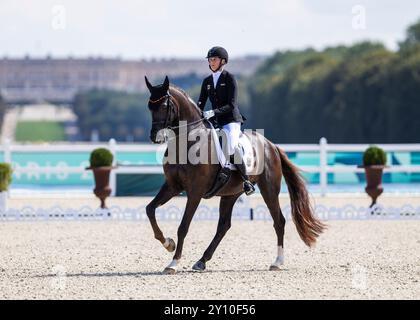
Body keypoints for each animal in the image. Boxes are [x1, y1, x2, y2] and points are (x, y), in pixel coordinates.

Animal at [144, 76, 324, 274]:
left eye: (164, 105)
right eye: (149, 106)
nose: (155, 137)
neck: (188, 142)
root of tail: (271, 145)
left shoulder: (195, 192)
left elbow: (183, 227)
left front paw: (173, 263)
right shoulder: (172, 186)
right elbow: (150, 209)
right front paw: (168, 244)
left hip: (269, 189)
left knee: (279, 221)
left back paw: (277, 262)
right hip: (230, 194)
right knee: (224, 226)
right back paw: (202, 261)